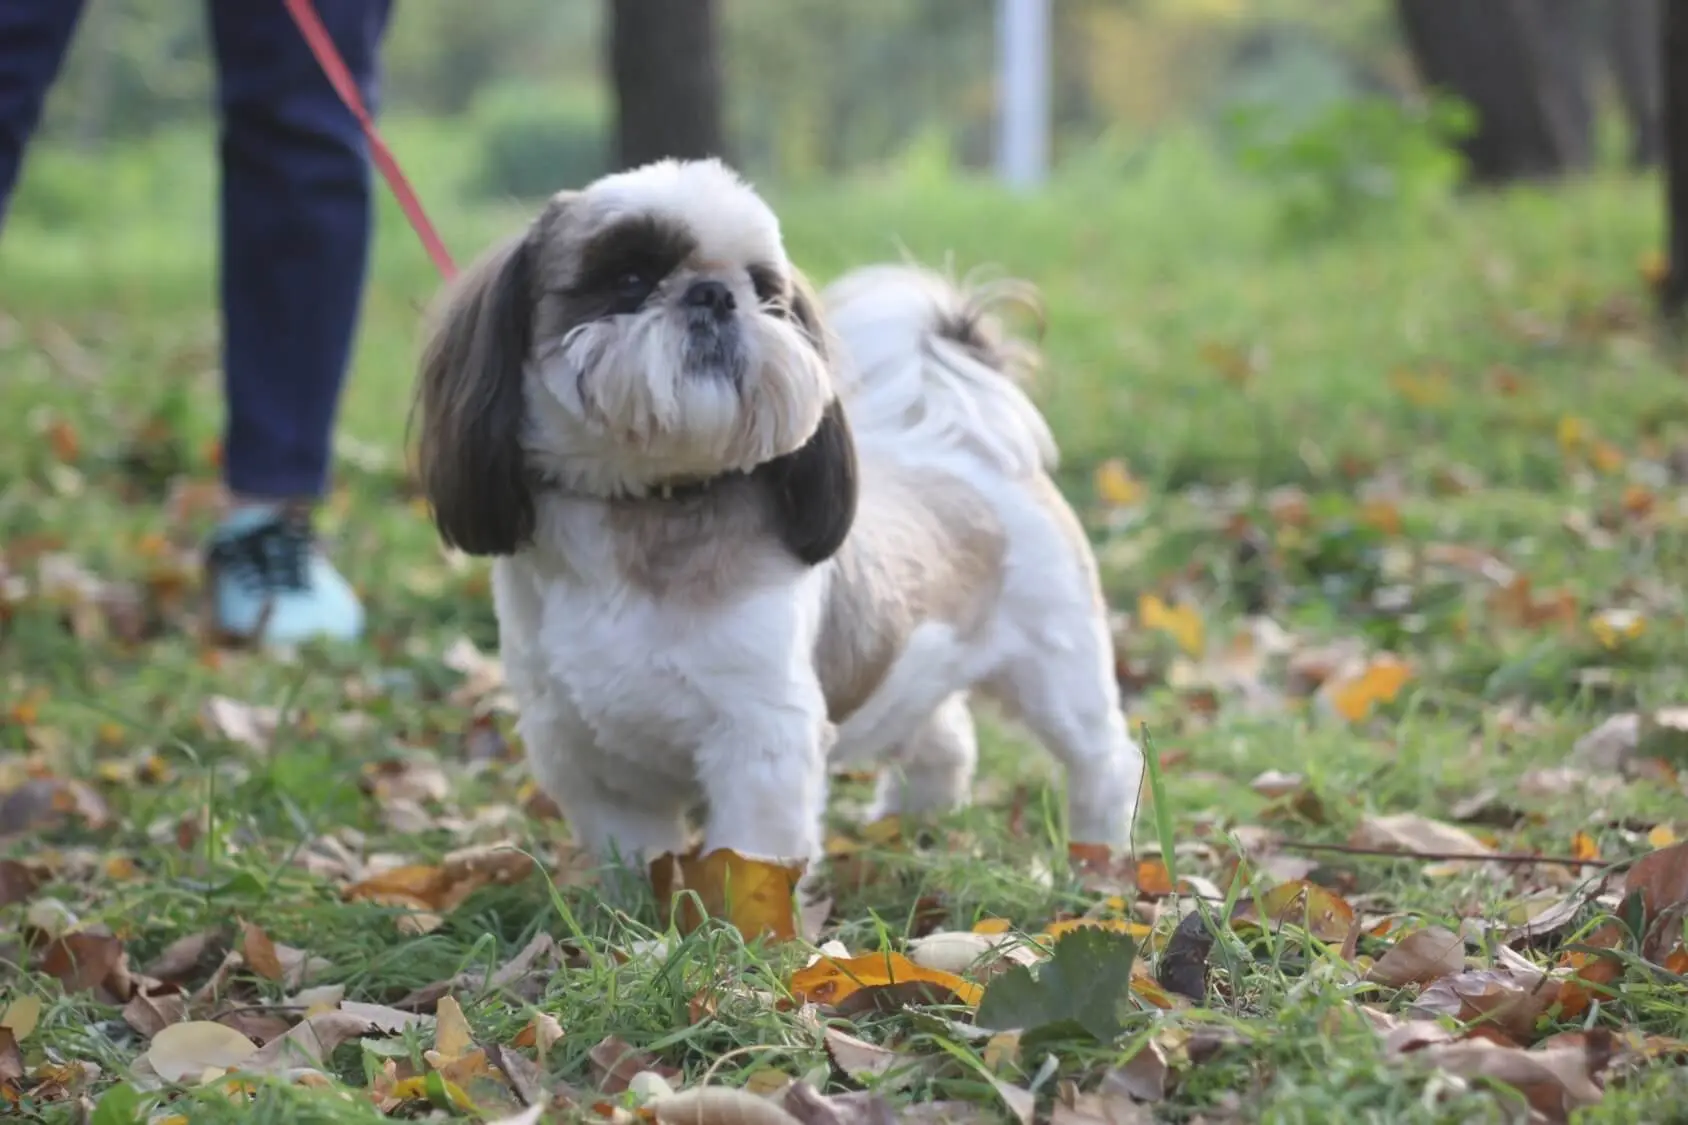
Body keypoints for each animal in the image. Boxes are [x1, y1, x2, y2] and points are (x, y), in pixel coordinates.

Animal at [413, 157, 1141, 878]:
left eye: (765, 291)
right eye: (629, 278)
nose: (714, 294)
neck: (649, 503)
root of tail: (968, 442)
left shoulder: (760, 735)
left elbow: (749, 857)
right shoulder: (584, 753)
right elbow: (636, 854)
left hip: (1057, 666)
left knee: (1103, 759)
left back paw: (1098, 858)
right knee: (946, 738)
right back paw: (912, 820)